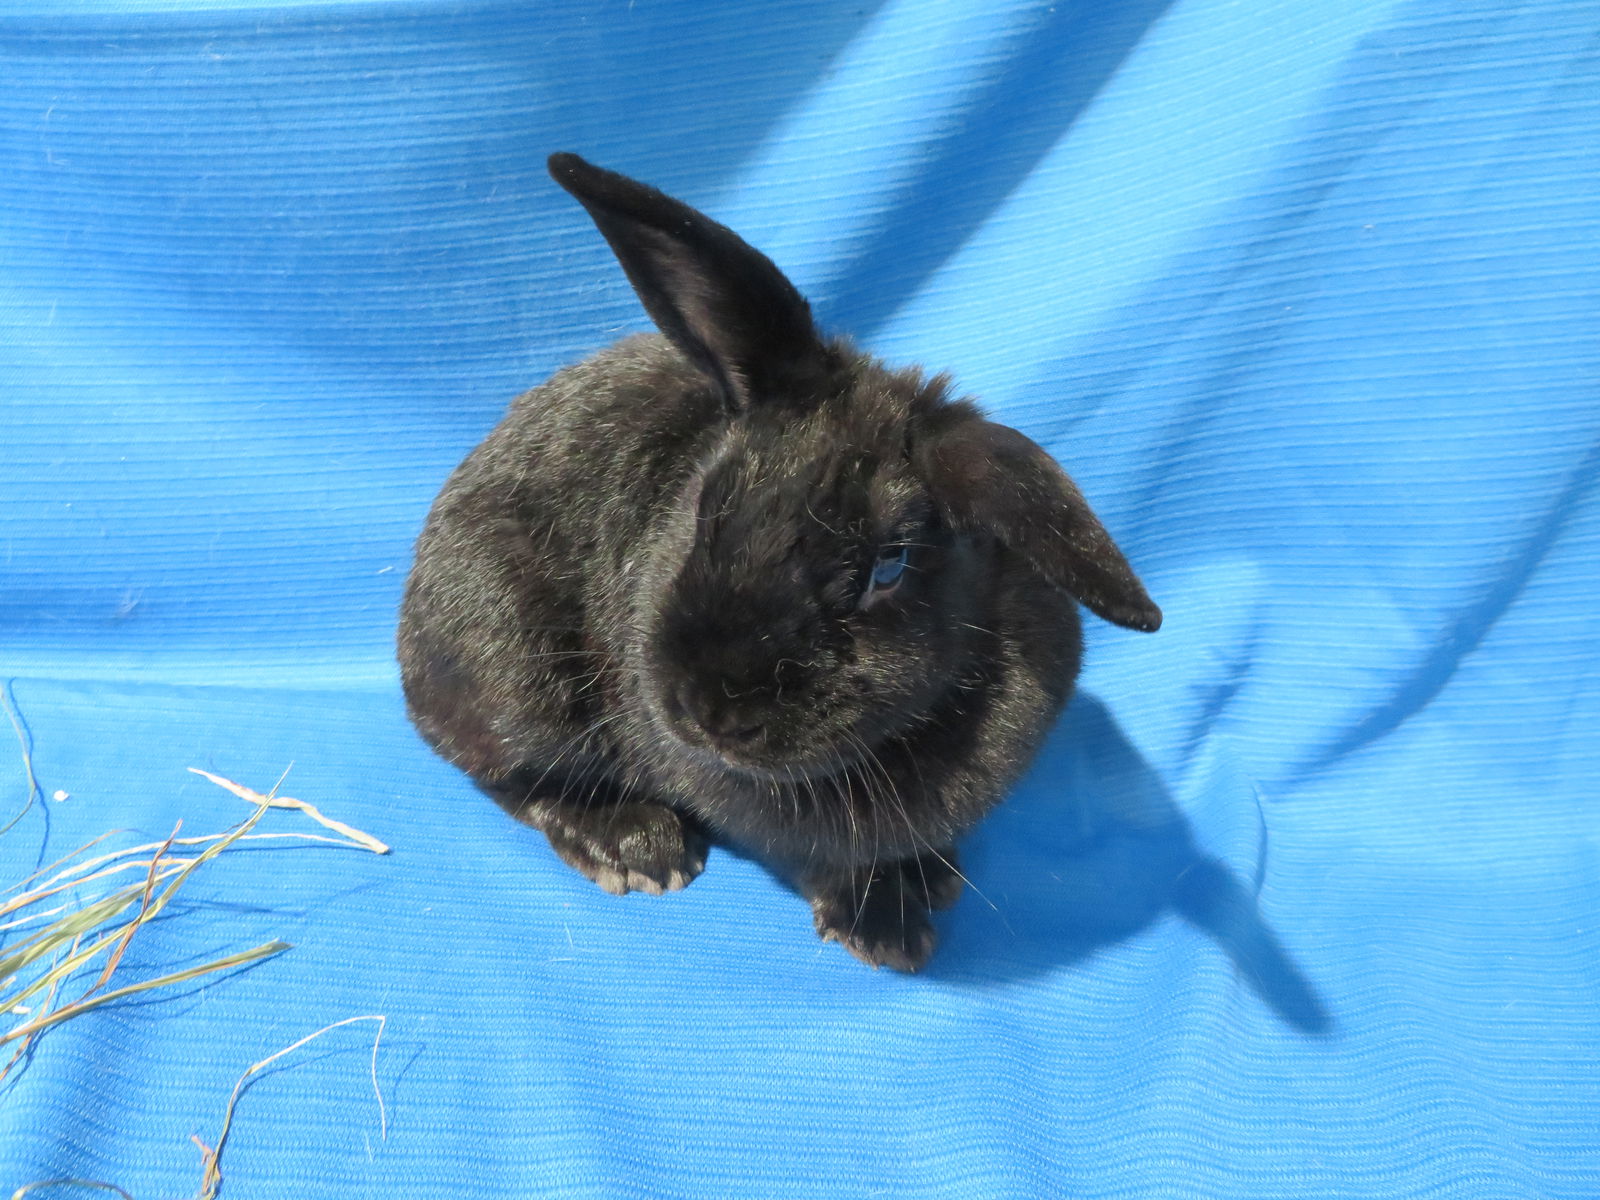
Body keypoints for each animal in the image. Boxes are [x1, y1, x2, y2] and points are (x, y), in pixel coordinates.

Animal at [393, 152, 1158, 979]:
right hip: (517, 673)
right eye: (705, 508)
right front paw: (885, 933)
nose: (707, 714)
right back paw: (636, 846)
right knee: (508, 776)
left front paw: (928, 883)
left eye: (890, 565)